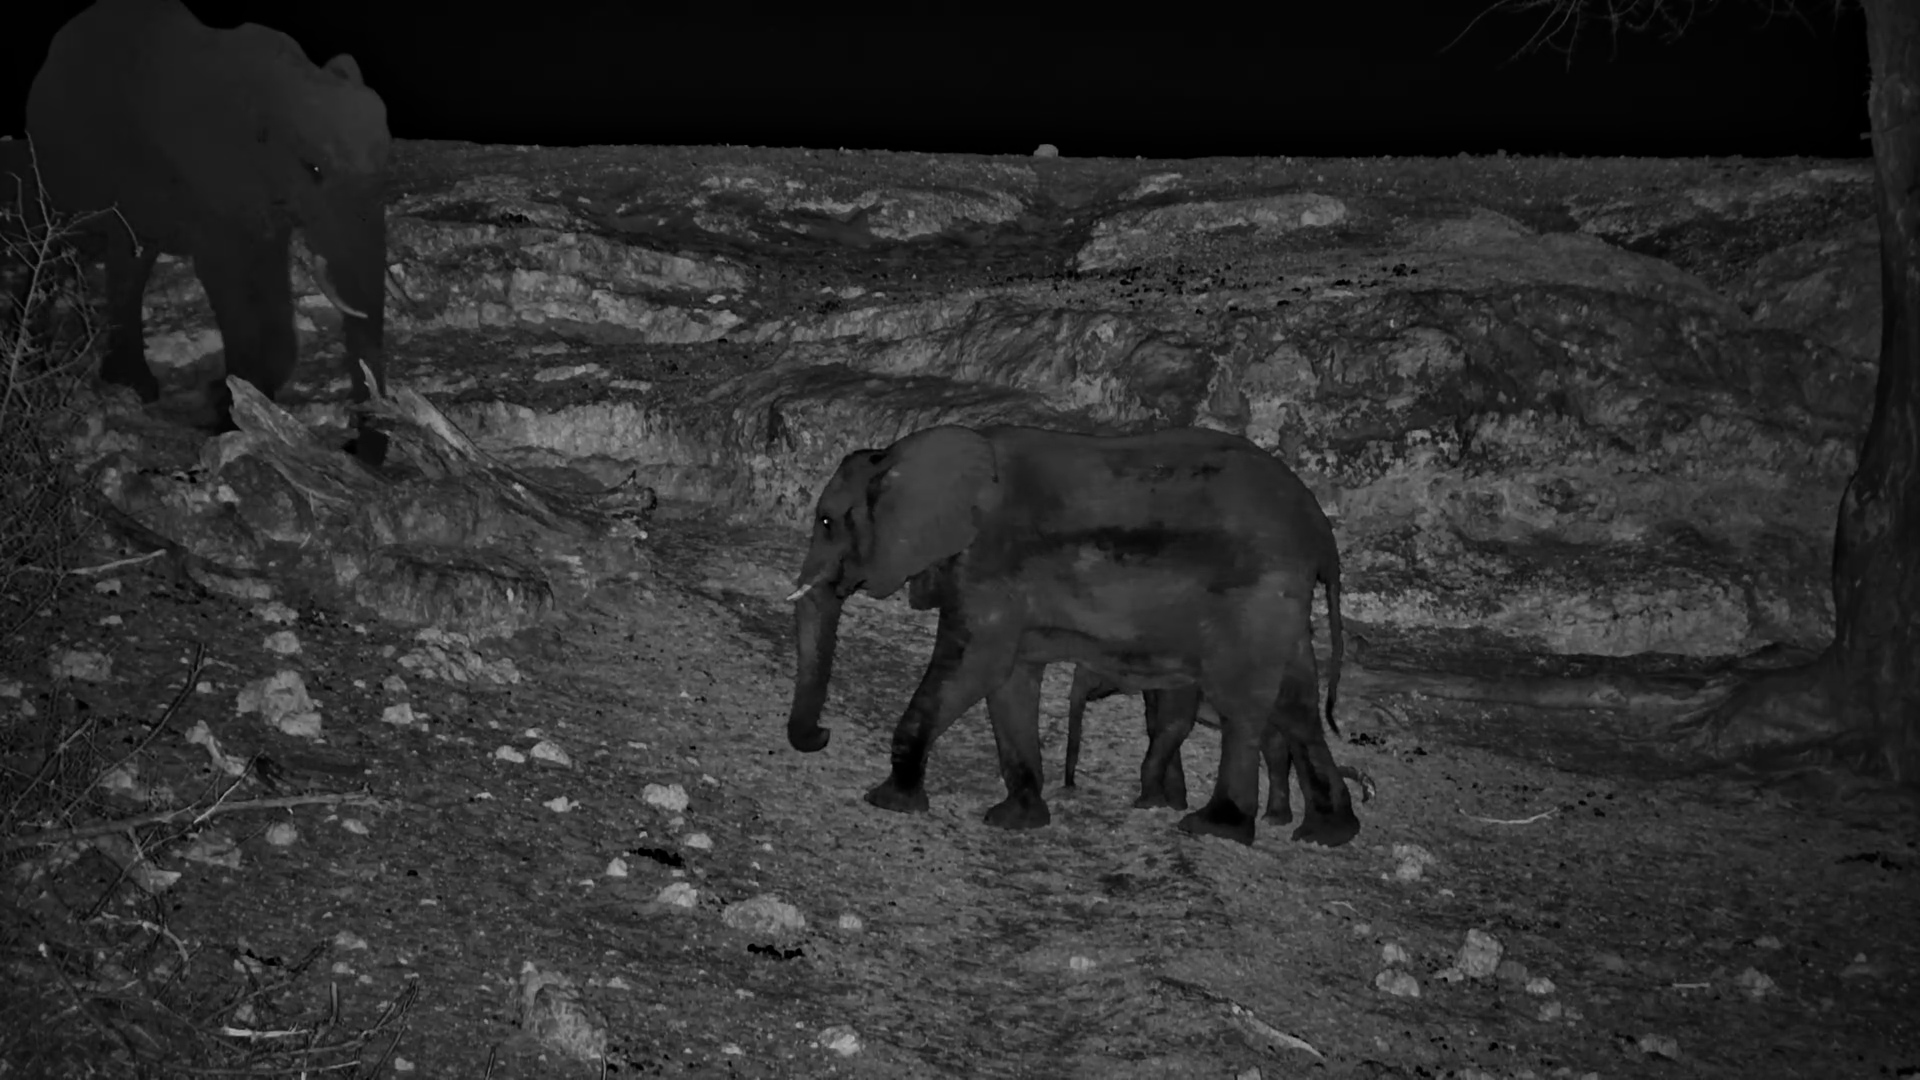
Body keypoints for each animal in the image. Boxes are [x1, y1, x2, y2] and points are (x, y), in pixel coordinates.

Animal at [25, 0, 394, 464]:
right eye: (313, 169)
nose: (355, 449)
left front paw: (232, 405)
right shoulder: (210, 185)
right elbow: (227, 280)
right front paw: (226, 417)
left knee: (130, 261)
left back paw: (133, 384)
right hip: (53, 159)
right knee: (50, 244)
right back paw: (38, 366)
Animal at [784, 423, 1359, 847]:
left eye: (828, 522)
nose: (823, 734)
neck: (905, 454)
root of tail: (1322, 535)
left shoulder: (988, 567)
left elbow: (974, 667)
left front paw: (889, 800)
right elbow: (1009, 681)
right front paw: (1016, 819)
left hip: (1254, 596)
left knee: (1241, 702)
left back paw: (1214, 828)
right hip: (1280, 605)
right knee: (1296, 705)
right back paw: (1327, 833)